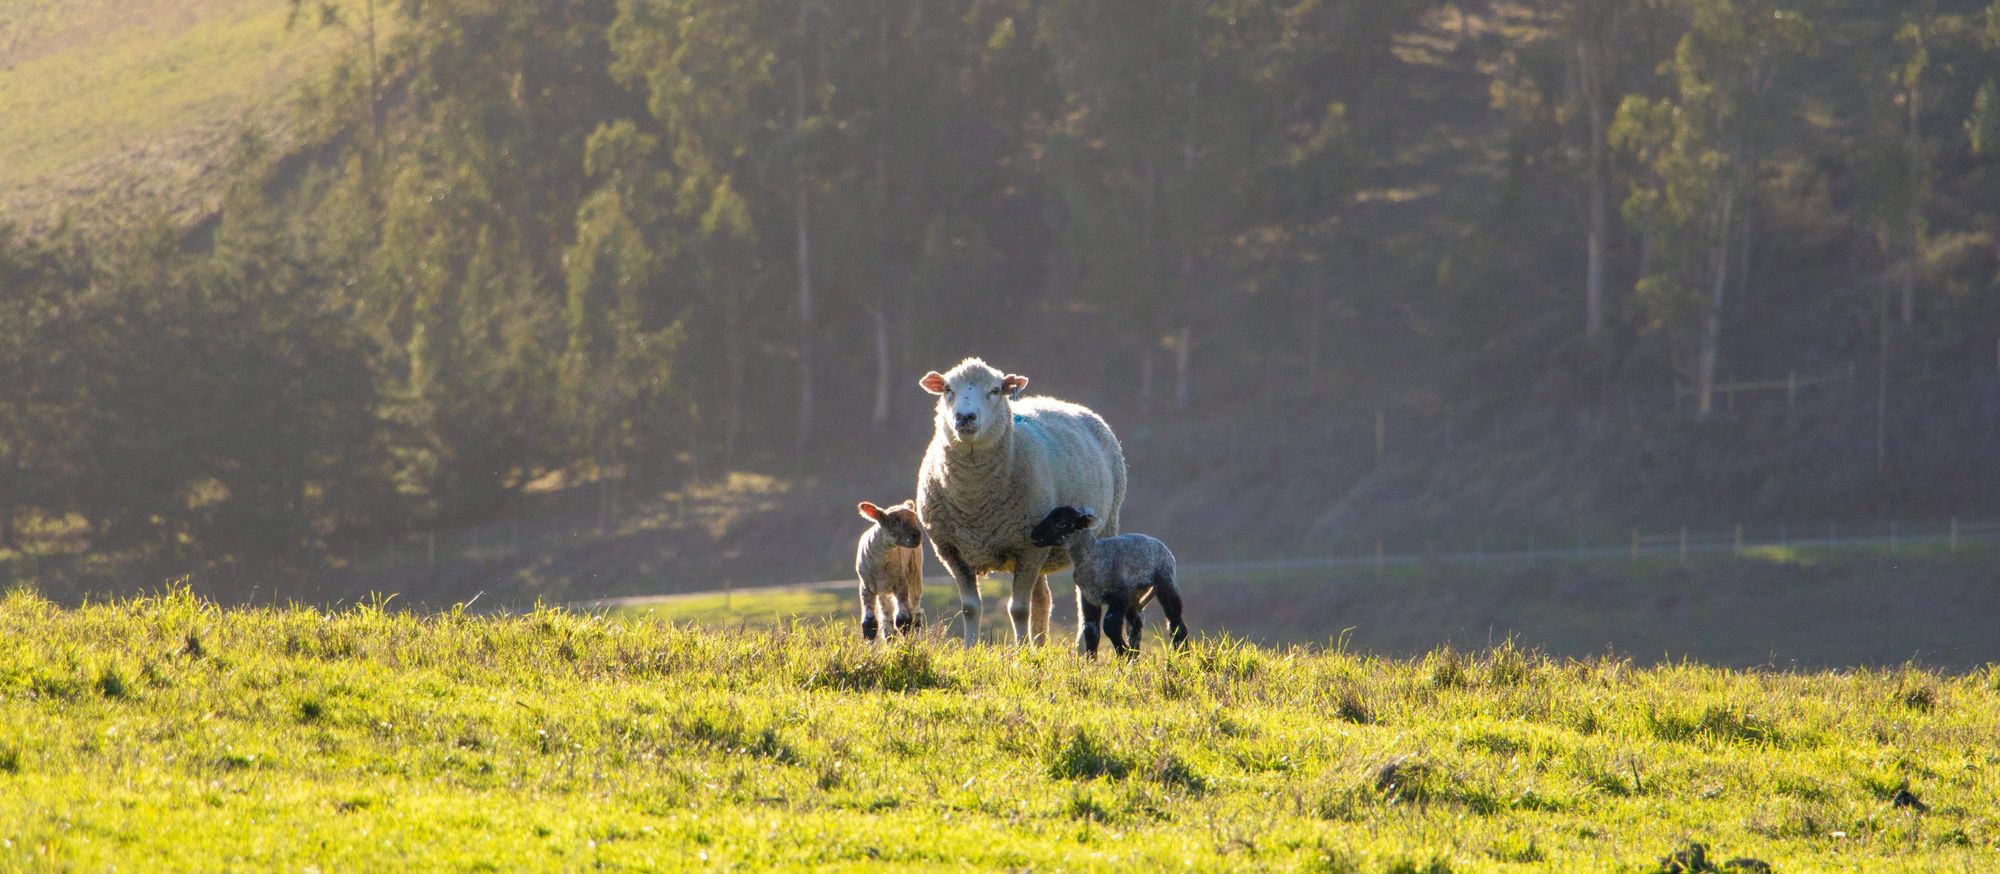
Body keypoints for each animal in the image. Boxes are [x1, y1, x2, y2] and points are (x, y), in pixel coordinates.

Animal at [852, 500, 928, 636]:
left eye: (915, 518)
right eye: (893, 521)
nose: (916, 536)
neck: (880, 564)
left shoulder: (901, 583)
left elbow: (903, 620)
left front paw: (907, 641)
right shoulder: (866, 586)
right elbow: (869, 624)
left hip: (915, 573)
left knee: (916, 611)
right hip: (882, 591)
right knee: (886, 616)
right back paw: (890, 637)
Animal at [916, 356, 1128, 648]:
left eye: (995, 390)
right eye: (948, 389)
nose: (965, 417)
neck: (974, 502)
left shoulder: (1028, 549)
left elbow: (1017, 609)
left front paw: (1019, 651)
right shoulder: (950, 549)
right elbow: (970, 607)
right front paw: (970, 649)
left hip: (1101, 530)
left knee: (1085, 596)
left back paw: (1080, 648)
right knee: (1043, 599)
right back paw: (1039, 644)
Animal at [1032, 504, 1184, 656]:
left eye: (1060, 523)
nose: (1033, 534)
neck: (1091, 554)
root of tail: (1162, 546)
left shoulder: (1120, 593)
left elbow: (1110, 625)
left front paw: (1122, 652)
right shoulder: (1088, 596)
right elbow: (1090, 629)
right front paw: (1091, 660)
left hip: (1166, 580)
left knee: (1175, 622)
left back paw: (1181, 655)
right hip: (1135, 595)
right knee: (1136, 625)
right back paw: (1134, 657)